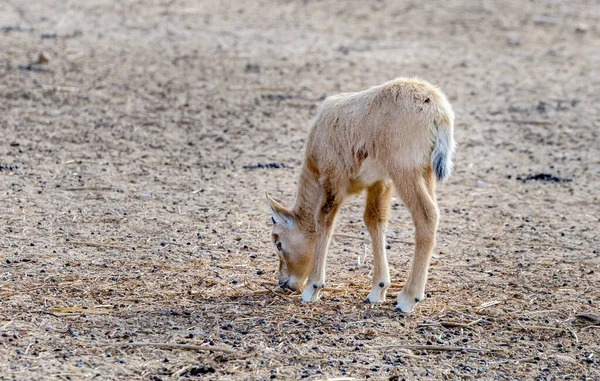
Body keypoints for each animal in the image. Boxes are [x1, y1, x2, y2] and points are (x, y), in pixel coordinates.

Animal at [264, 77, 454, 312]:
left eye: (278, 243)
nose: (284, 283)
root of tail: (437, 110)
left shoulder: (332, 177)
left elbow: (324, 219)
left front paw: (312, 289)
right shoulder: (380, 182)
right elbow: (374, 220)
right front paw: (377, 290)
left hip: (405, 171)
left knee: (427, 215)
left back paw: (407, 298)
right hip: (425, 172)